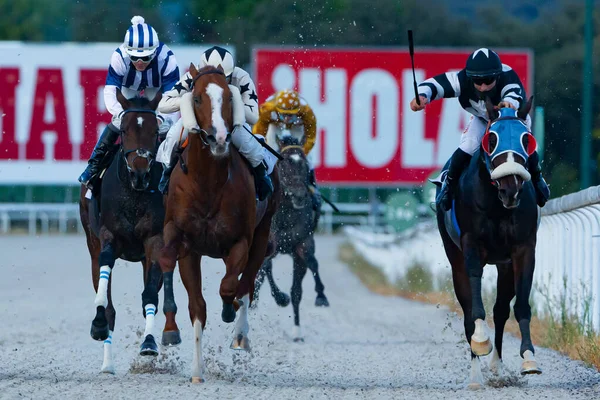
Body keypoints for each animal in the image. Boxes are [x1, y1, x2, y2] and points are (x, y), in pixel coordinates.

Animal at [78, 90, 166, 372]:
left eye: (154, 131)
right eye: (125, 130)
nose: (139, 173)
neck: (134, 193)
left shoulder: (156, 241)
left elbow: (150, 295)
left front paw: (149, 343)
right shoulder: (108, 237)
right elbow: (106, 297)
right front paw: (98, 325)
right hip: (91, 243)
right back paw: (107, 364)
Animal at [159, 64, 282, 382]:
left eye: (229, 97)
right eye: (197, 98)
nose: (219, 138)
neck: (208, 183)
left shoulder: (240, 242)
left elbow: (229, 288)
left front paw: (229, 311)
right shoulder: (185, 243)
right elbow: (196, 305)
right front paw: (195, 368)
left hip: (262, 233)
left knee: (247, 283)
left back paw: (240, 335)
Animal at [252, 137, 330, 340]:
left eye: (305, 165)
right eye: (284, 164)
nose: (300, 196)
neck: (286, 214)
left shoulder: (302, 244)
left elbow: (309, 267)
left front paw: (321, 297)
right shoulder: (268, 243)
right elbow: (266, 268)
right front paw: (281, 298)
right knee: (261, 273)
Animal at [434, 97, 540, 388]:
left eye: (527, 140)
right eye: (491, 139)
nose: (510, 187)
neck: (497, 204)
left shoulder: (523, 249)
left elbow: (520, 304)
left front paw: (529, 358)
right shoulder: (471, 244)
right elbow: (474, 305)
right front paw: (481, 340)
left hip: (504, 265)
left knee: (501, 309)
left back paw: (496, 366)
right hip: (454, 256)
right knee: (468, 309)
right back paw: (476, 375)